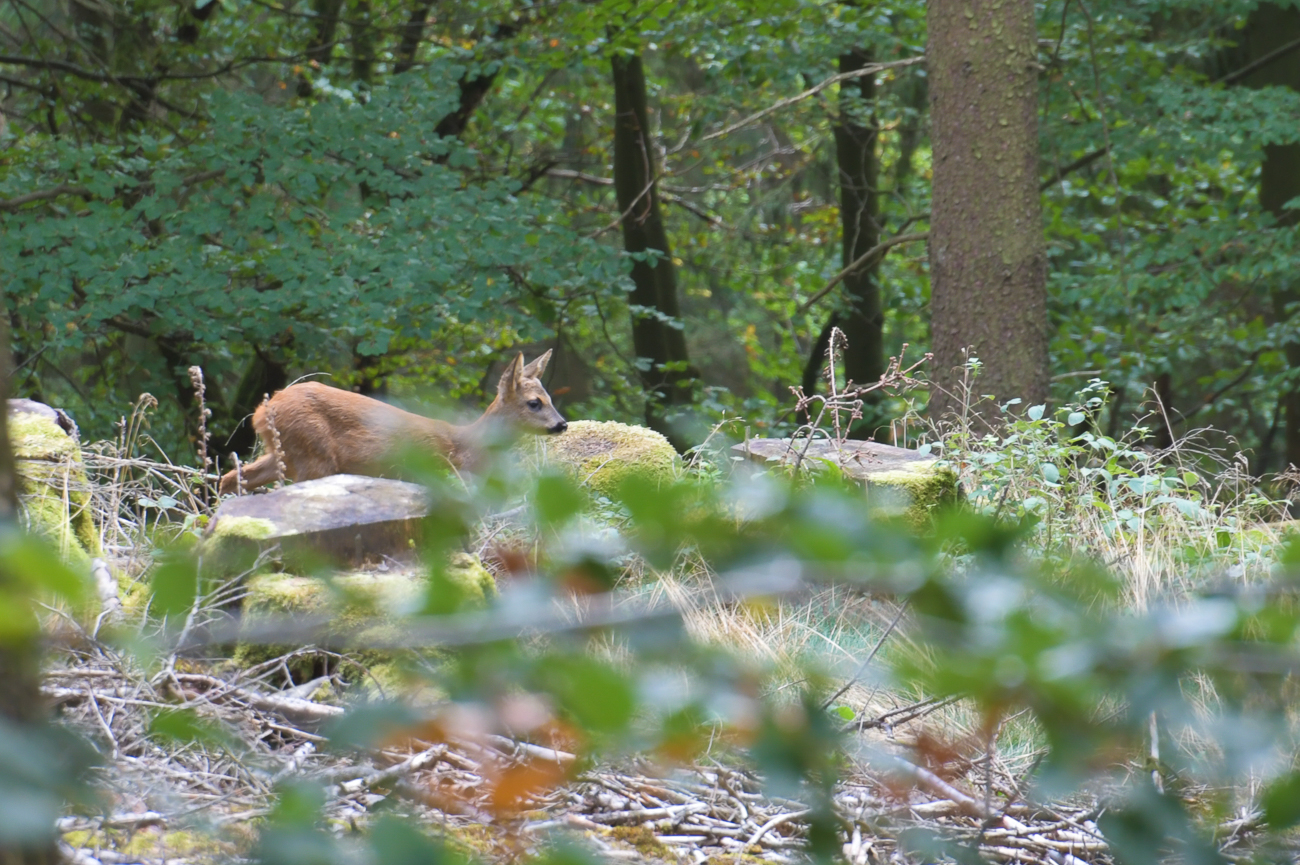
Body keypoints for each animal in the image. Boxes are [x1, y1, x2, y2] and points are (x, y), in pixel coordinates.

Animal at [218, 350, 567, 495]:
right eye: (534, 403)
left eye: (550, 398)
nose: (562, 424)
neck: (473, 445)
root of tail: (262, 410)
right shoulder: (456, 477)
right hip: (312, 455)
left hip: (284, 453)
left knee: (232, 477)